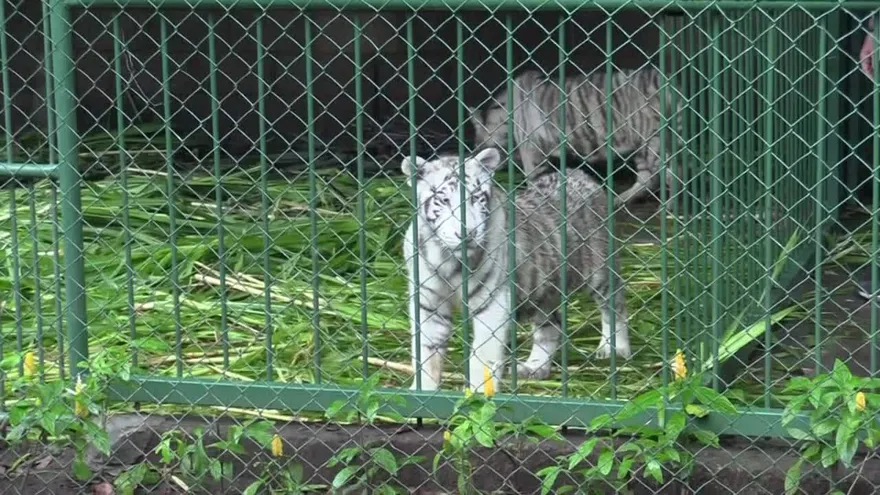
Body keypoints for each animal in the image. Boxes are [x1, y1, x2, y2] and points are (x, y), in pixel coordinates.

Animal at [401, 146, 631, 393]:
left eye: (476, 198)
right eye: (443, 200)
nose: (468, 233)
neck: (447, 258)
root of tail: (577, 174)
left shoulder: (492, 303)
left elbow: (482, 356)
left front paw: (478, 395)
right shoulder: (428, 304)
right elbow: (426, 353)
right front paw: (423, 391)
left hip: (599, 271)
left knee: (615, 305)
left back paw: (615, 349)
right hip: (542, 291)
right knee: (551, 326)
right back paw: (535, 367)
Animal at [468, 67, 684, 207]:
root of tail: (669, 83)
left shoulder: (532, 151)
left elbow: (534, 180)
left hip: (653, 140)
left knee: (670, 174)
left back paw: (669, 210)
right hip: (642, 144)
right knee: (647, 178)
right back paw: (616, 201)